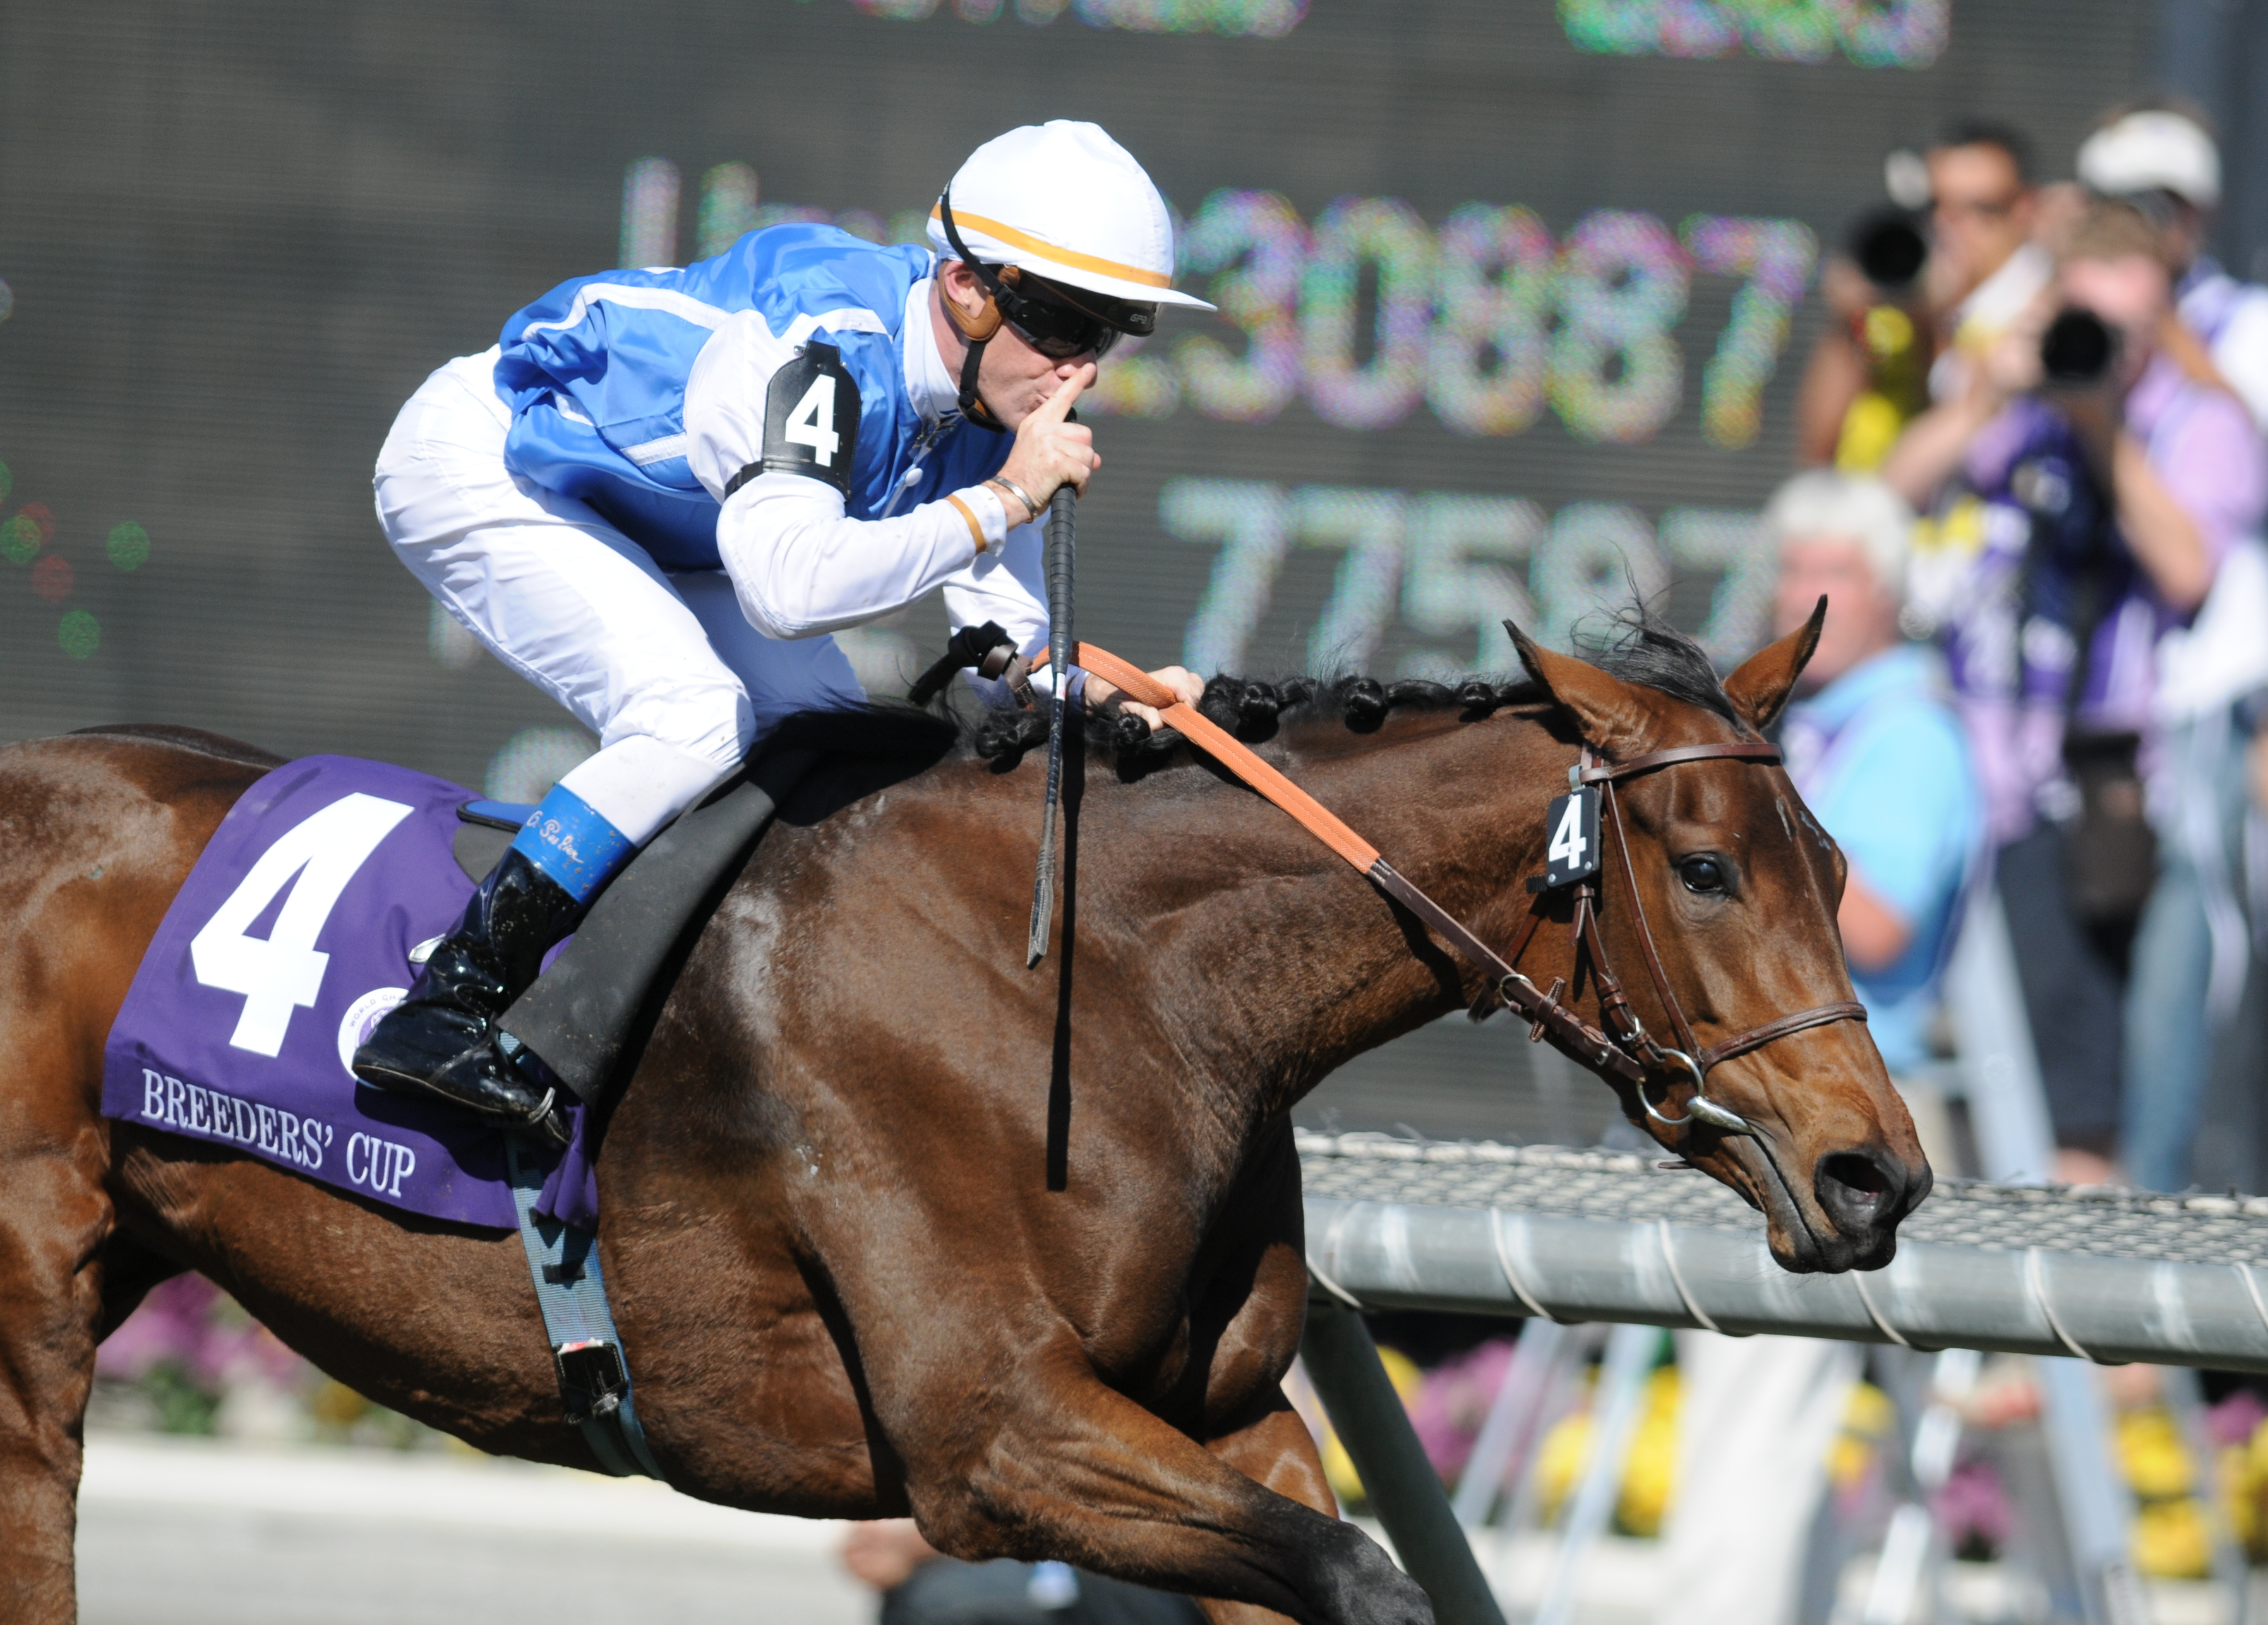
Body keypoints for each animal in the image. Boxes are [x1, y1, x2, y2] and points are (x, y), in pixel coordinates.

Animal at [0, 611, 1923, 1622]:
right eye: (1703, 867)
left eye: (1834, 865)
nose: (1876, 1170)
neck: (1110, 987)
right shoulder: (989, 1437)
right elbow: (1363, 1574)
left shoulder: (1224, 1418)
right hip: (33, 1286)